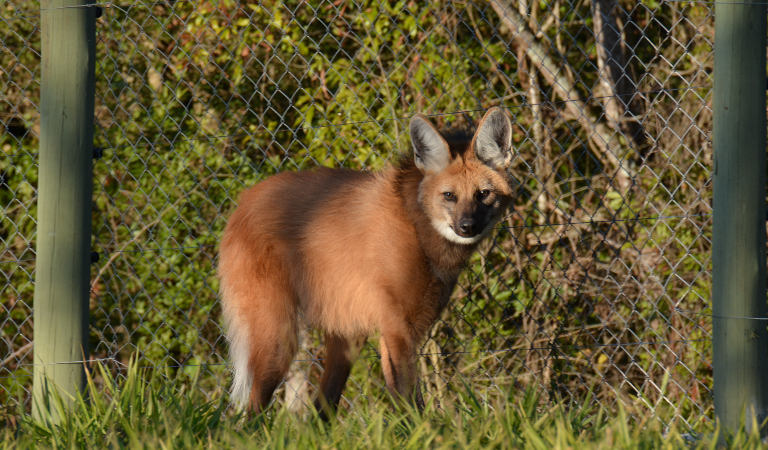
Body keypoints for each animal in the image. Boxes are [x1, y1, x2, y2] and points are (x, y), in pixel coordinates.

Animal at [218, 106, 518, 418]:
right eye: (450, 196)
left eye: (483, 194)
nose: (467, 226)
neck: (416, 226)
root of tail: (243, 201)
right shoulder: (397, 328)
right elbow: (408, 401)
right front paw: (423, 428)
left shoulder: (403, 328)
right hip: (278, 338)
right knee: (252, 411)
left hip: (346, 335)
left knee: (321, 409)